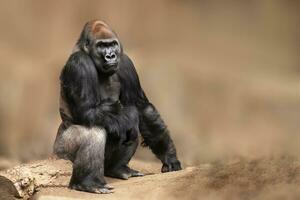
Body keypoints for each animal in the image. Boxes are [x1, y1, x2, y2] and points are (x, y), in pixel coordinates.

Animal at [52, 19, 182, 194]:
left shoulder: (126, 63)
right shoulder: (79, 63)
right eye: (101, 45)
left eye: (112, 44)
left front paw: (169, 156)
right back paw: (87, 183)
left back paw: (117, 169)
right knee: (95, 131)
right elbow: (88, 112)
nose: (110, 55)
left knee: (133, 127)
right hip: (60, 155)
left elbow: (141, 108)